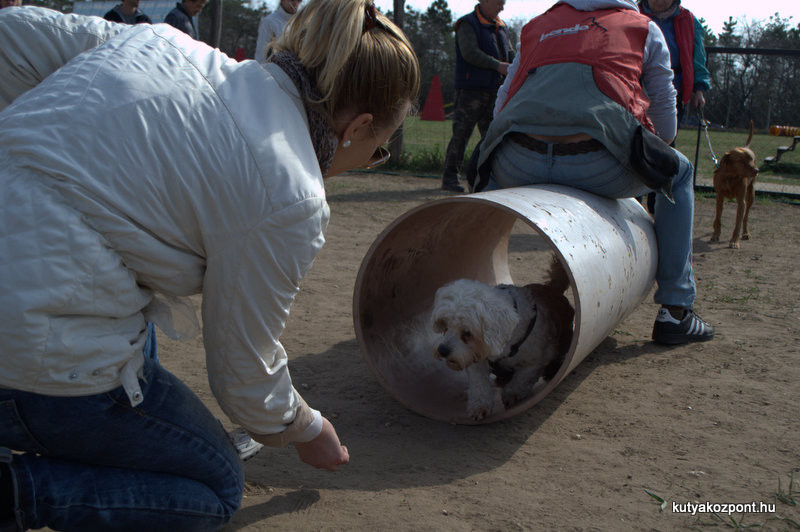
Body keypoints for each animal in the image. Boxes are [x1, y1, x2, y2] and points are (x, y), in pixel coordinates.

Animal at [434, 258, 572, 420]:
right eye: (445, 324)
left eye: (467, 332)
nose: (442, 350)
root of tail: (553, 288)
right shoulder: (476, 357)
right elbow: (479, 383)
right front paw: (479, 405)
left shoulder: (539, 359)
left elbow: (523, 377)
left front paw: (512, 393)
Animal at [708, 119, 760, 248]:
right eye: (741, 161)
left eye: (751, 159)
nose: (757, 170)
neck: (730, 176)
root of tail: (746, 146)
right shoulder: (719, 197)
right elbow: (718, 218)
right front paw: (715, 234)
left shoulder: (741, 201)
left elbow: (738, 223)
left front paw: (734, 241)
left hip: (751, 194)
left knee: (745, 217)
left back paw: (746, 233)